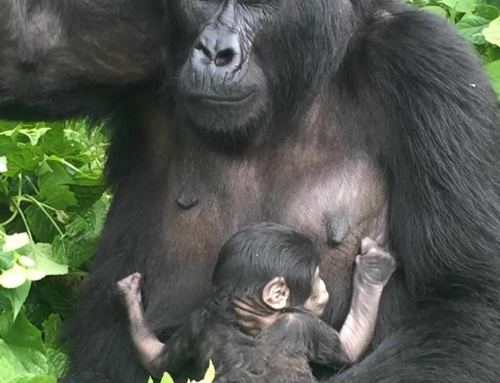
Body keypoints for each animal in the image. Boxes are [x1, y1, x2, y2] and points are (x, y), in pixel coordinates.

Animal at [116, 224, 394, 382]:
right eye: (315, 276)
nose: (323, 287)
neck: (249, 313)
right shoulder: (301, 323)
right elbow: (349, 349)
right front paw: (372, 272)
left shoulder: (197, 323)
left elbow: (156, 361)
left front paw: (128, 294)